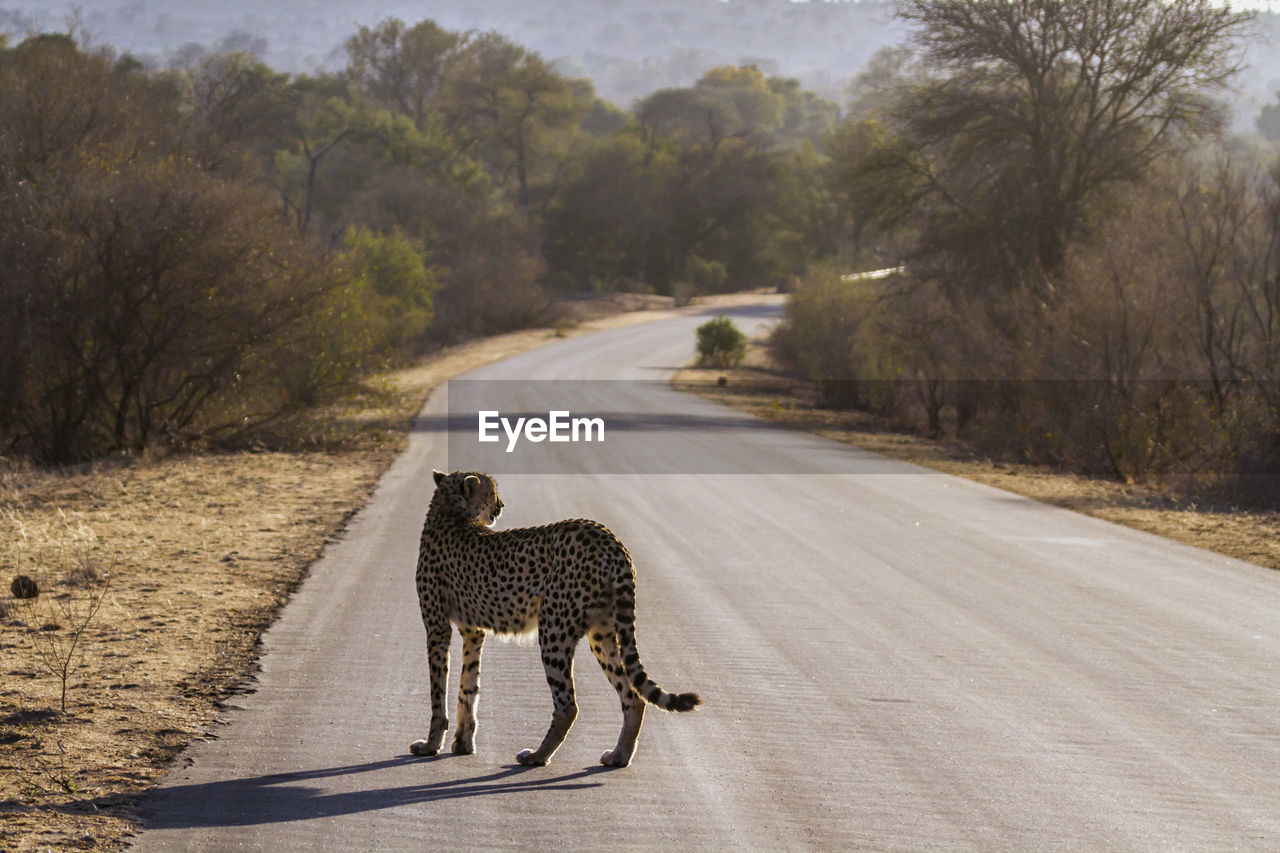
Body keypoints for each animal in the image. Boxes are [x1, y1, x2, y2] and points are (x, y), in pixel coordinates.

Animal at [409, 468, 701, 768]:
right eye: (492, 493)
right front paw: (463, 743)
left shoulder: (437, 628)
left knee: (568, 705)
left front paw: (431, 744)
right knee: (632, 695)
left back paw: (537, 755)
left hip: (553, 630)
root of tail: (606, 536)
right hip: (602, 633)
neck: (450, 509)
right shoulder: (473, 631)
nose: (501, 506)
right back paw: (619, 755)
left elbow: (438, 692)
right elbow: (467, 687)